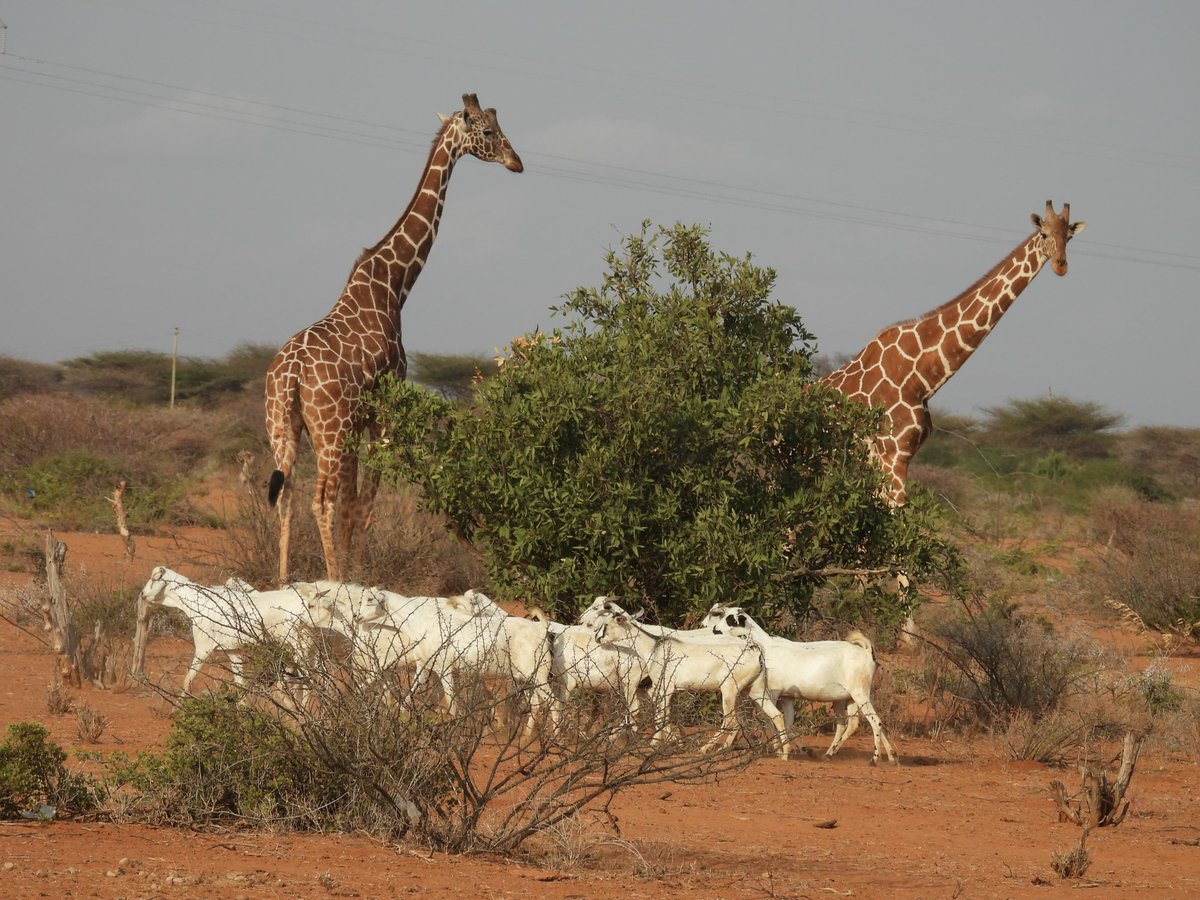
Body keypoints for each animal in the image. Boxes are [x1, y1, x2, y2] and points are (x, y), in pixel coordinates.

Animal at [264, 93, 523, 582]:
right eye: (489, 132)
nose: (516, 162)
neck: (394, 284)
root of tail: (290, 375)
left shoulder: (358, 421)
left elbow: (353, 506)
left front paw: (351, 573)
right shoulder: (384, 410)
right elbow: (364, 506)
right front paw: (355, 579)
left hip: (284, 427)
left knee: (285, 496)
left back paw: (283, 581)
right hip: (329, 428)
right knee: (318, 501)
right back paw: (329, 580)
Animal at [822, 201, 1086, 507]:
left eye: (1069, 237)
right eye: (1043, 233)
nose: (1060, 265)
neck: (921, 378)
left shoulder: (895, 457)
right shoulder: (892, 454)